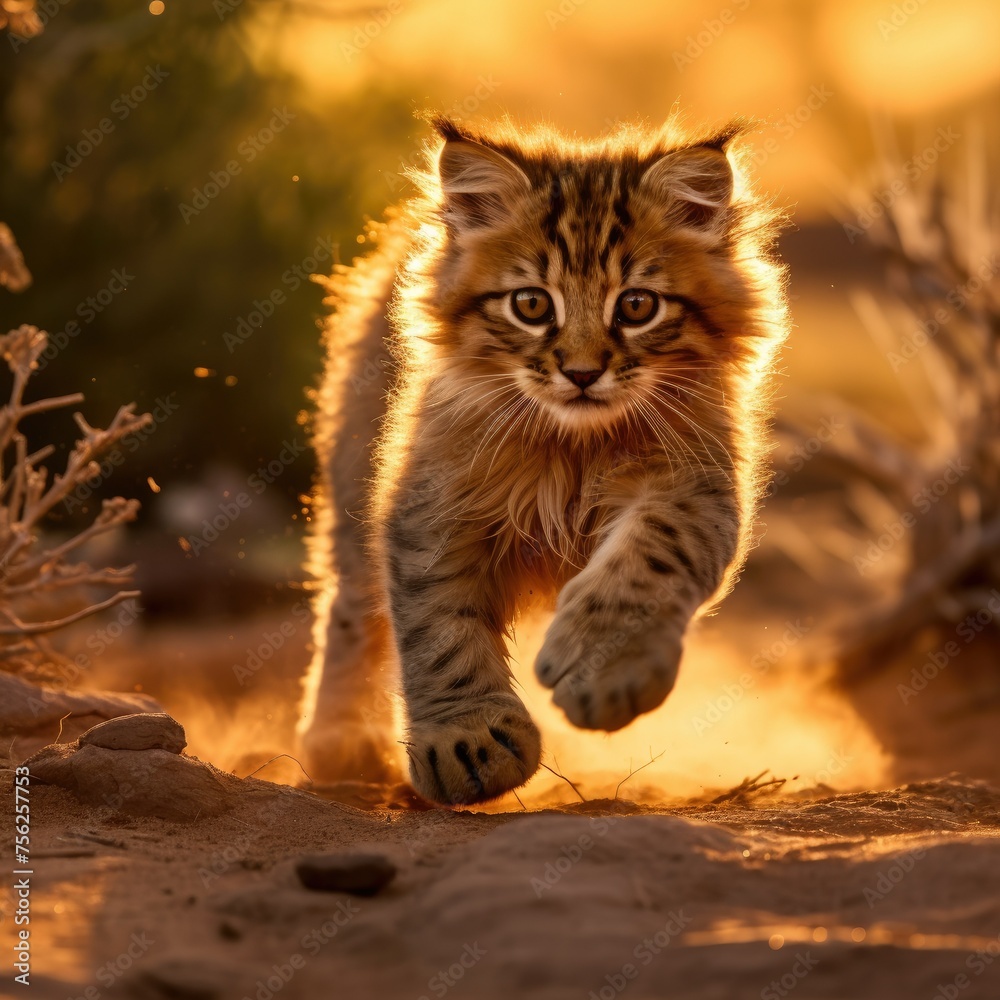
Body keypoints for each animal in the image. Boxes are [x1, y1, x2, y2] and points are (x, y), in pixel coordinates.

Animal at [296, 115, 788, 804]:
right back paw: (338, 742)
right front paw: (466, 742)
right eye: (531, 304)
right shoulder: (431, 498)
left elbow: (651, 558)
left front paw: (605, 670)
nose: (581, 373)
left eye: (637, 305)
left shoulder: (693, 481)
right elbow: (437, 625)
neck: (569, 446)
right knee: (347, 608)